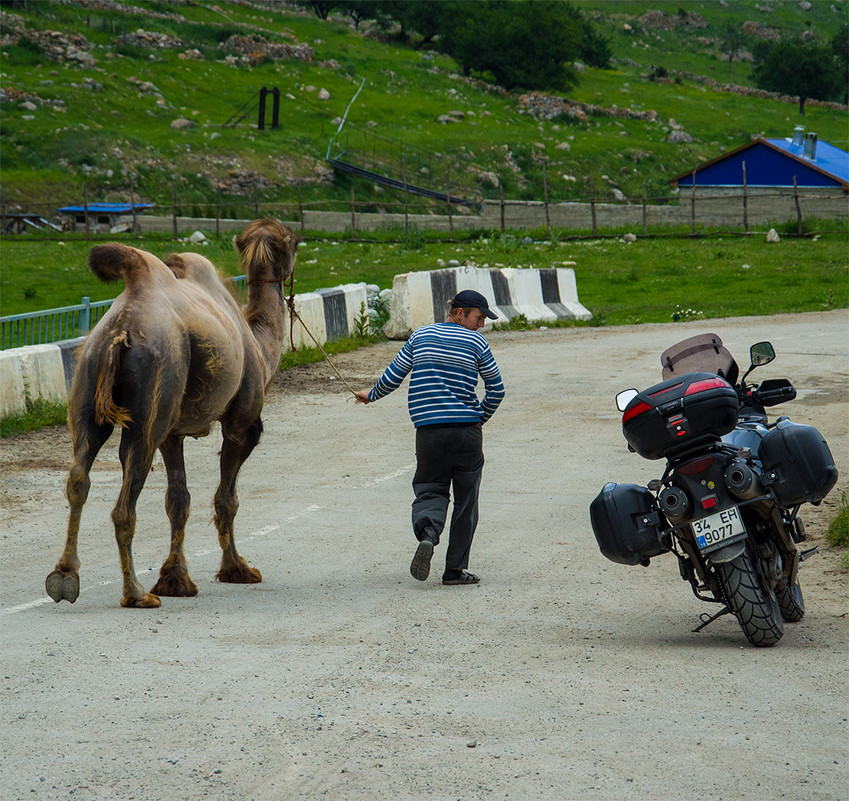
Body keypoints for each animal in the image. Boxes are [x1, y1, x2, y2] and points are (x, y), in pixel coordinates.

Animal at [47, 217, 298, 608]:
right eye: (296, 243)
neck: (259, 346)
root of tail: (121, 326)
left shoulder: (173, 432)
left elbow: (178, 499)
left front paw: (175, 578)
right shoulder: (241, 423)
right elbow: (226, 498)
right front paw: (237, 569)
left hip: (89, 383)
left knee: (78, 475)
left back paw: (64, 577)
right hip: (154, 386)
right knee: (126, 495)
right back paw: (135, 594)